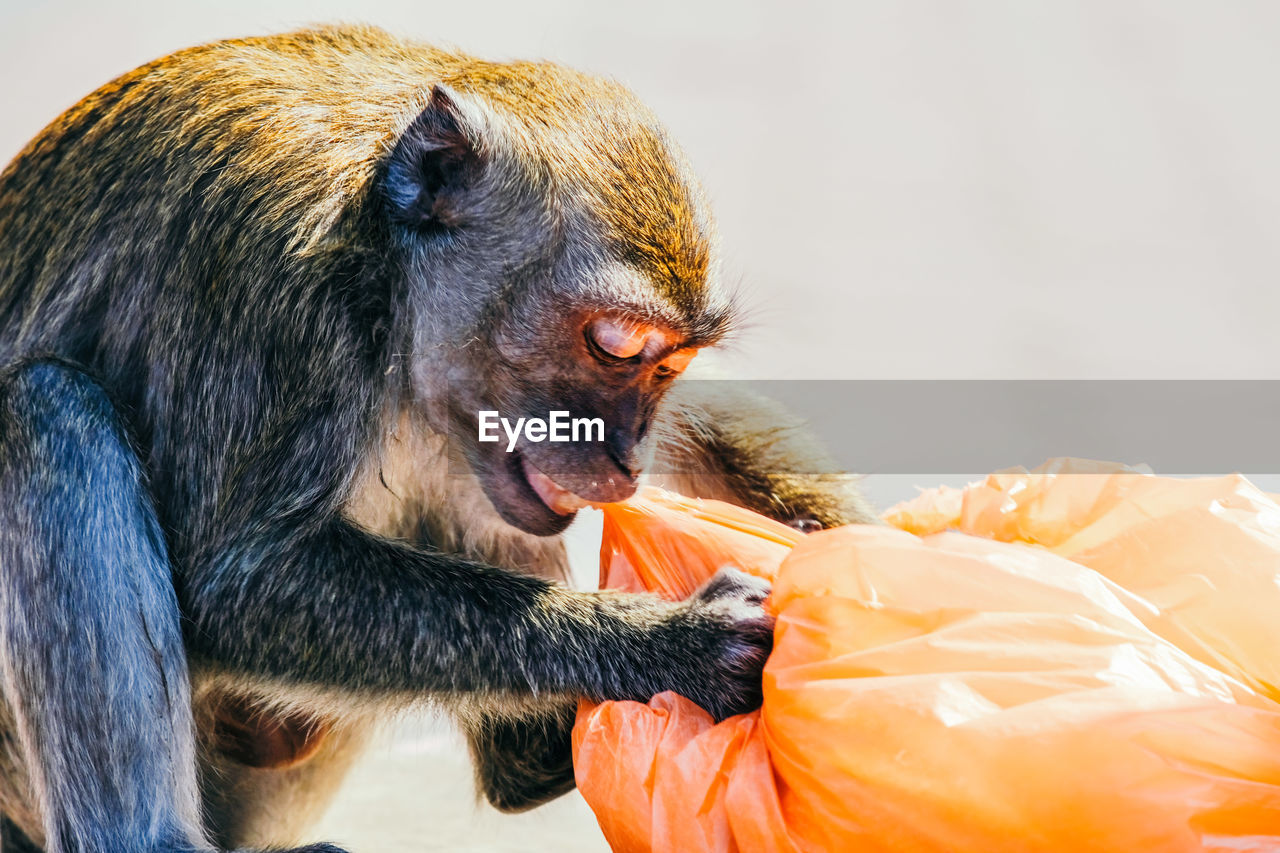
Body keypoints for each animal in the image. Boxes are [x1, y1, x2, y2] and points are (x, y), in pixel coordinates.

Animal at [0, 24, 875, 850]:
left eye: (668, 366)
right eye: (615, 345)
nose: (627, 461)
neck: (382, 257)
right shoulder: (269, 280)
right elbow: (235, 582)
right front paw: (671, 645)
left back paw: (528, 763)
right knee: (49, 408)